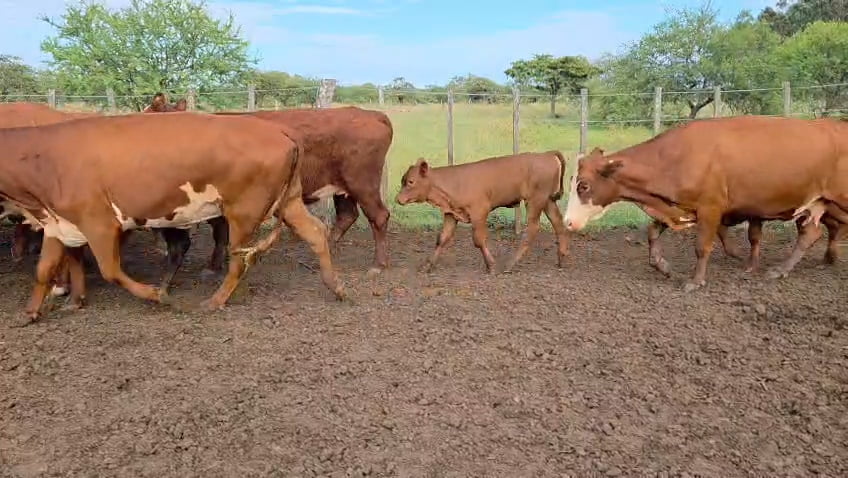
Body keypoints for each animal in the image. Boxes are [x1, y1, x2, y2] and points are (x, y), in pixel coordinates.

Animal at [0, 112, 346, 325]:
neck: (45, 157)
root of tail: (279, 130)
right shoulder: (57, 223)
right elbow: (44, 270)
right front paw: (32, 312)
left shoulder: (99, 223)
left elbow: (111, 270)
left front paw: (156, 294)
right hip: (288, 202)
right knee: (316, 233)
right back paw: (336, 287)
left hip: (243, 212)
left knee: (239, 260)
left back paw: (215, 301)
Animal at [141, 99, 393, 292]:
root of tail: (370, 113)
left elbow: (220, 235)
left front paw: (213, 267)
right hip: (343, 188)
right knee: (347, 216)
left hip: (362, 183)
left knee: (378, 216)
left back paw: (378, 265)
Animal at [395, 152, 569, 273]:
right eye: (403, 180)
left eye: (410, 181)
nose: (398, 199)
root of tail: (546, 154)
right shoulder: (451, 214)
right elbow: (442, 239)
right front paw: (427, 265)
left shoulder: (479, 212)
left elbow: (478, 240)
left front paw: (491, 265)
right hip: (548, 201)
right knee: (558, 223)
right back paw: (561, 258)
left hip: (535, 201)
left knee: (533, 228)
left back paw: (510, 264)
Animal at [563, 116, 848, 291]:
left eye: (583, 186)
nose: (567, 222)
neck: (675, 158)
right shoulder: (677, 207)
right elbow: (653, 233)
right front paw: (663, 266)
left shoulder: (710, 209)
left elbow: (702, 246)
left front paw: (696, 280)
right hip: (817, 203)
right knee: (810, 233)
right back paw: (782, 269)